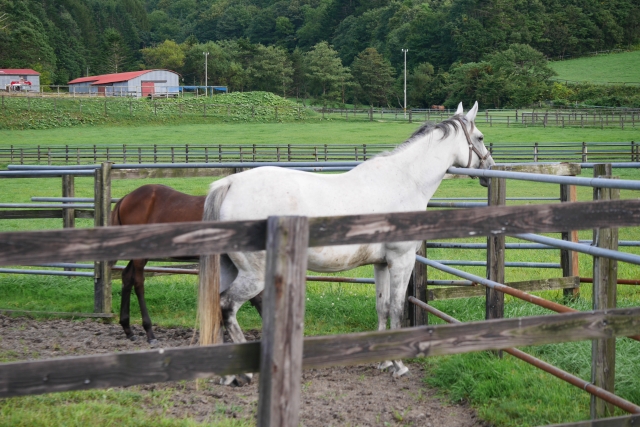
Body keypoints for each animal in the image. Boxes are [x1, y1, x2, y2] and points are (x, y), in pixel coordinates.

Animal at [110, 184, 262, 344]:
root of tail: (126, 198)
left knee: (127, 276)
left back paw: (128, 329)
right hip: (140, 254)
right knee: (139, 283)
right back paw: (149, 332)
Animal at [202, 102, 492, 386]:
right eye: (480, 137)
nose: (489, 170)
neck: (405, 181)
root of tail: (229, 183)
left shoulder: (381, 264)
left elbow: (382, 307)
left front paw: (384, 361)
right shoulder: (401, 260)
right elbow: (397, 308)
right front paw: (399, 365)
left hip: (229, 269)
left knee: (215, 307)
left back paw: (226, 374)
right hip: (254, 276)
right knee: (227, 306)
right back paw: (244, 374)